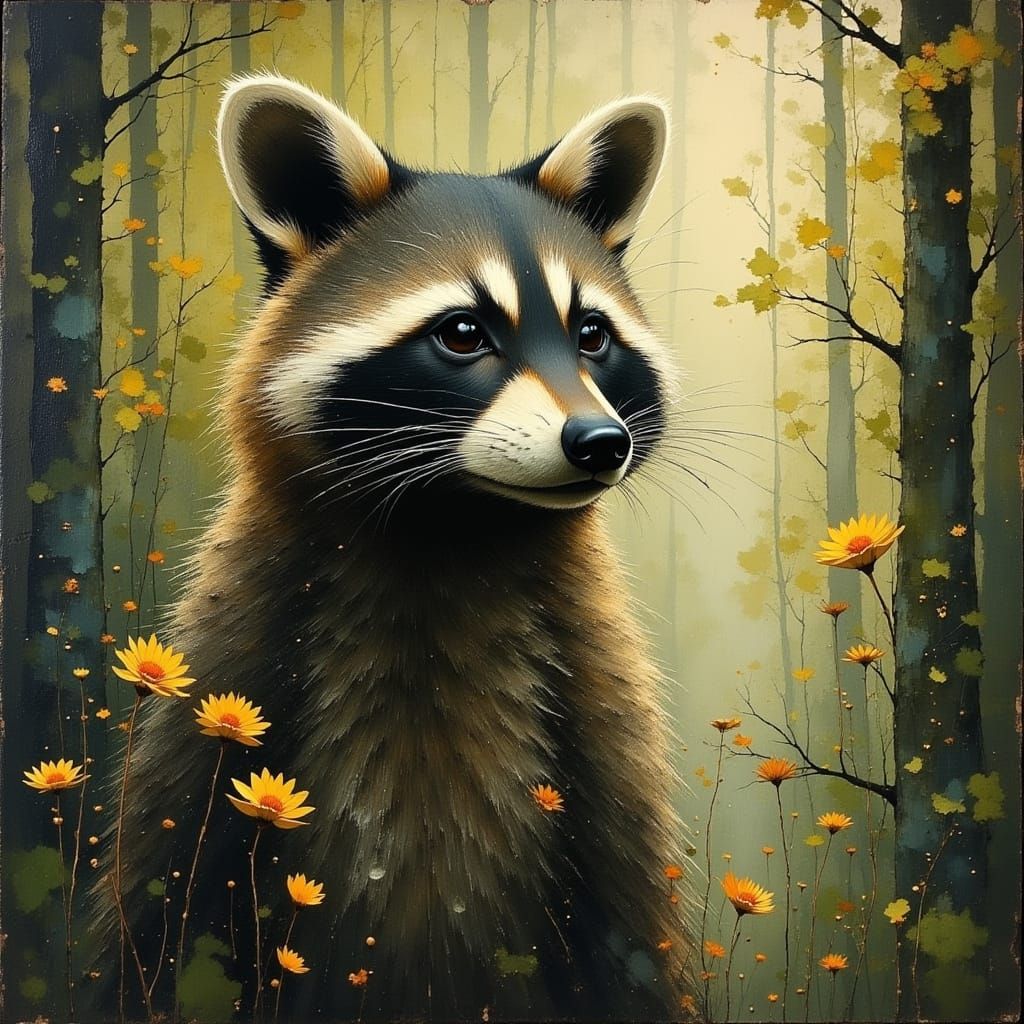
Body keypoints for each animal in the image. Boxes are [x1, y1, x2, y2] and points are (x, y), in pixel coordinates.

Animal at [104, 75, 690, 1022]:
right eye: (463, 332)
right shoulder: (229, 681)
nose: (601, 443)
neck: (451, 527)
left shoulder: (608, 734)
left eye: (592, 336)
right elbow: (158, 910)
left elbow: (632, 924)